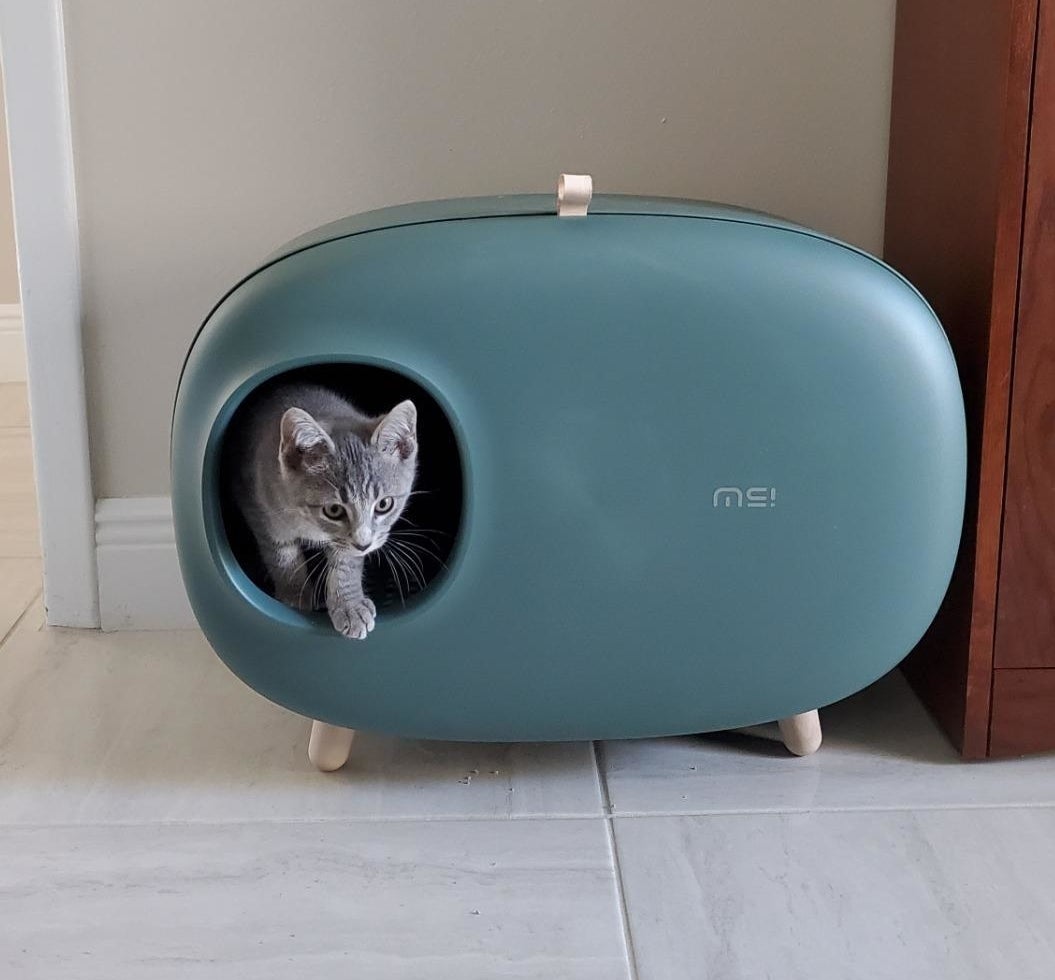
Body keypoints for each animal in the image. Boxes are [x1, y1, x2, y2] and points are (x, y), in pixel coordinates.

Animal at [233, 386, 417, 637]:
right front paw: (295, 595)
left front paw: (349, 605)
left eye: (384, 504)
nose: (364, 545)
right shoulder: (257, 510)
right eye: (333, 510)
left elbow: (346, 564)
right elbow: (282, 555)